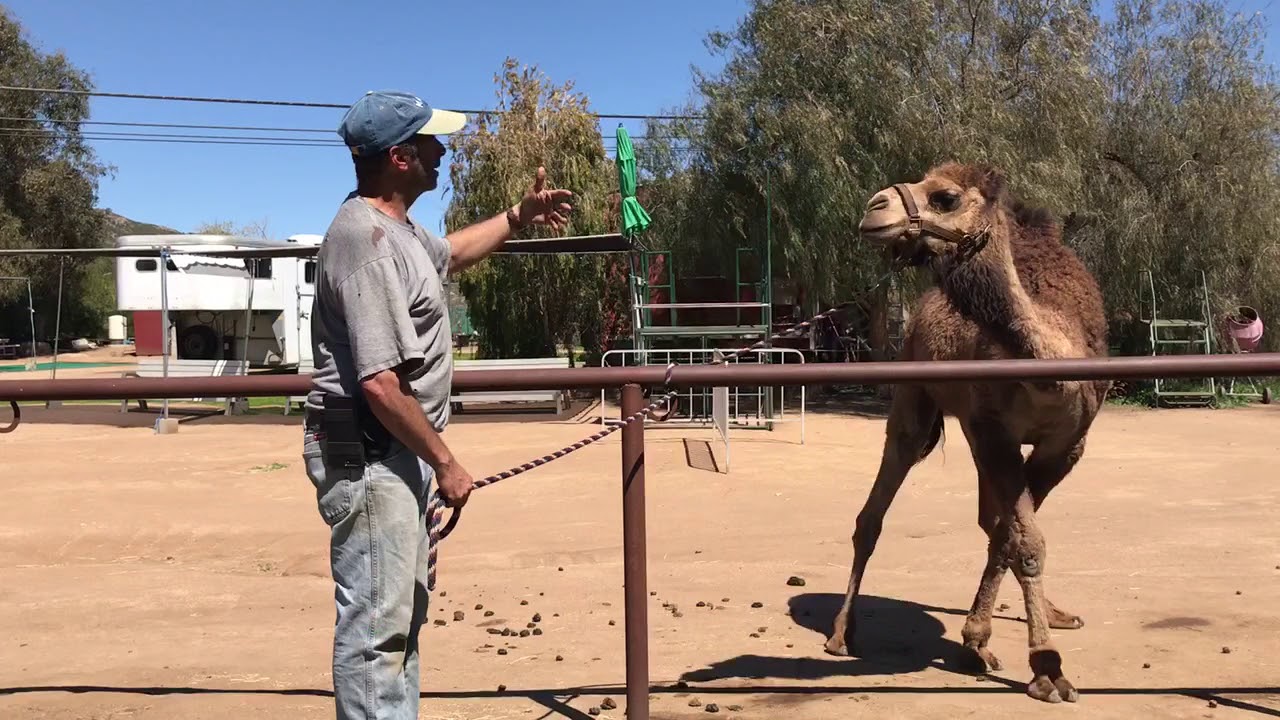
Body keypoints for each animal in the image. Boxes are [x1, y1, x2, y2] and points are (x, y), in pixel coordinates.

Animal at [824, 162, 1110, 704]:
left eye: (946, 197)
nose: (874, 208)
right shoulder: (993, 429)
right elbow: (1024, 540)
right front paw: (1045, 667)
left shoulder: (1066, 445)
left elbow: (1014, 536)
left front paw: (983, 640)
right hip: (915, 397)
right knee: (873, 513)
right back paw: (841, 632)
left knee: (990, 521)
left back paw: (1054, 613)